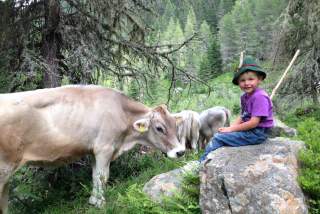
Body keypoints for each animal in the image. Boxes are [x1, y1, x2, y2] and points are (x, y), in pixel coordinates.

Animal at [0, 85, 185, 212]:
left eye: (175, 125)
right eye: (159, 128)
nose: (180, 151)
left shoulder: (93, 151)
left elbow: (95, 176)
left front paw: (94, 201)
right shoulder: (105, 148)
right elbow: (103, 176)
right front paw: (101, 203)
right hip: (5, 166)